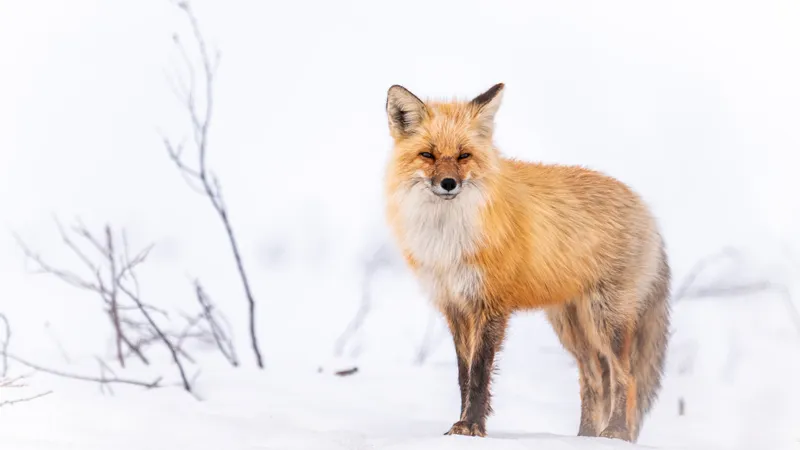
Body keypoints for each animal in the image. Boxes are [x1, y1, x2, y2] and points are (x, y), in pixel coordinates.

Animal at [382, 83, 671, 443]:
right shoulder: (455, 306)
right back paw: (585, 436)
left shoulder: (490, 304)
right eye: (428, 155)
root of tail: (645, 209)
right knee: (593, 380)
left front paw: (471, 426)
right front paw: (462, 426)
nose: (448, 184)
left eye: (464, 155)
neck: (449, 236)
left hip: (606, 319)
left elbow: (479, 373)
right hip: (571, 327)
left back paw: (614, 432)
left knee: (625, 377)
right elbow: (464, 375)